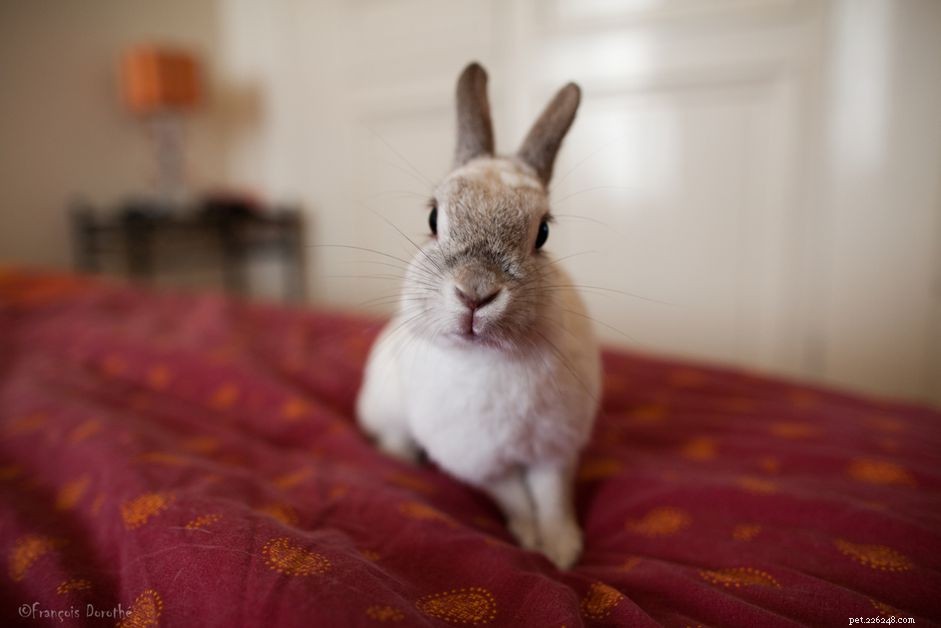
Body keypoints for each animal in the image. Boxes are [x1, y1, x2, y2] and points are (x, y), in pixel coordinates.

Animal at [356, 62, 601, 570]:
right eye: (433, 219)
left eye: (543, 232)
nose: (475, 293)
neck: (491, 357)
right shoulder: (479, 462)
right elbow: (515, 497)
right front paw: (531, 539)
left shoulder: (554, 451)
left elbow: (551, 497)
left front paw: (562, 551)